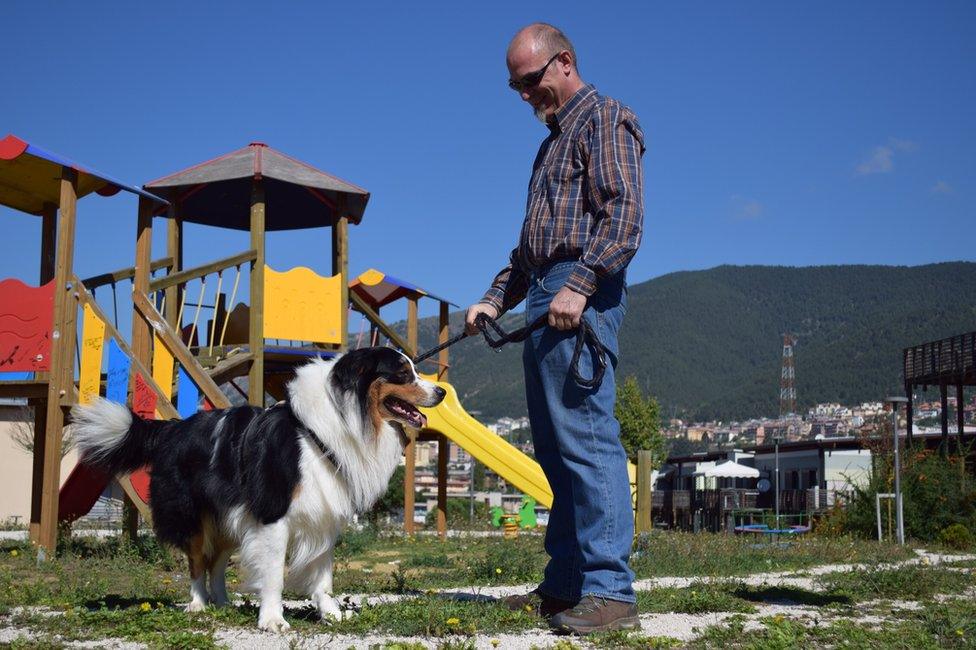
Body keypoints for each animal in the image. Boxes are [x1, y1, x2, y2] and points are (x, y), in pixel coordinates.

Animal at [71, 350, 446, 628]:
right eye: (403, 373)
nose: (441, 392)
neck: (331, 423)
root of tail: (172, 428)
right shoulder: (272, 515)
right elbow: (274, 573)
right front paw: (272, 620)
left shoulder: (324, 515)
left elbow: (323, 575)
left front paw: (331, 613)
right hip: (194, 516)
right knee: (197, 561)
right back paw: (199, 603)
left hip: (229, 520)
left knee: (216, 562)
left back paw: (223, 602)